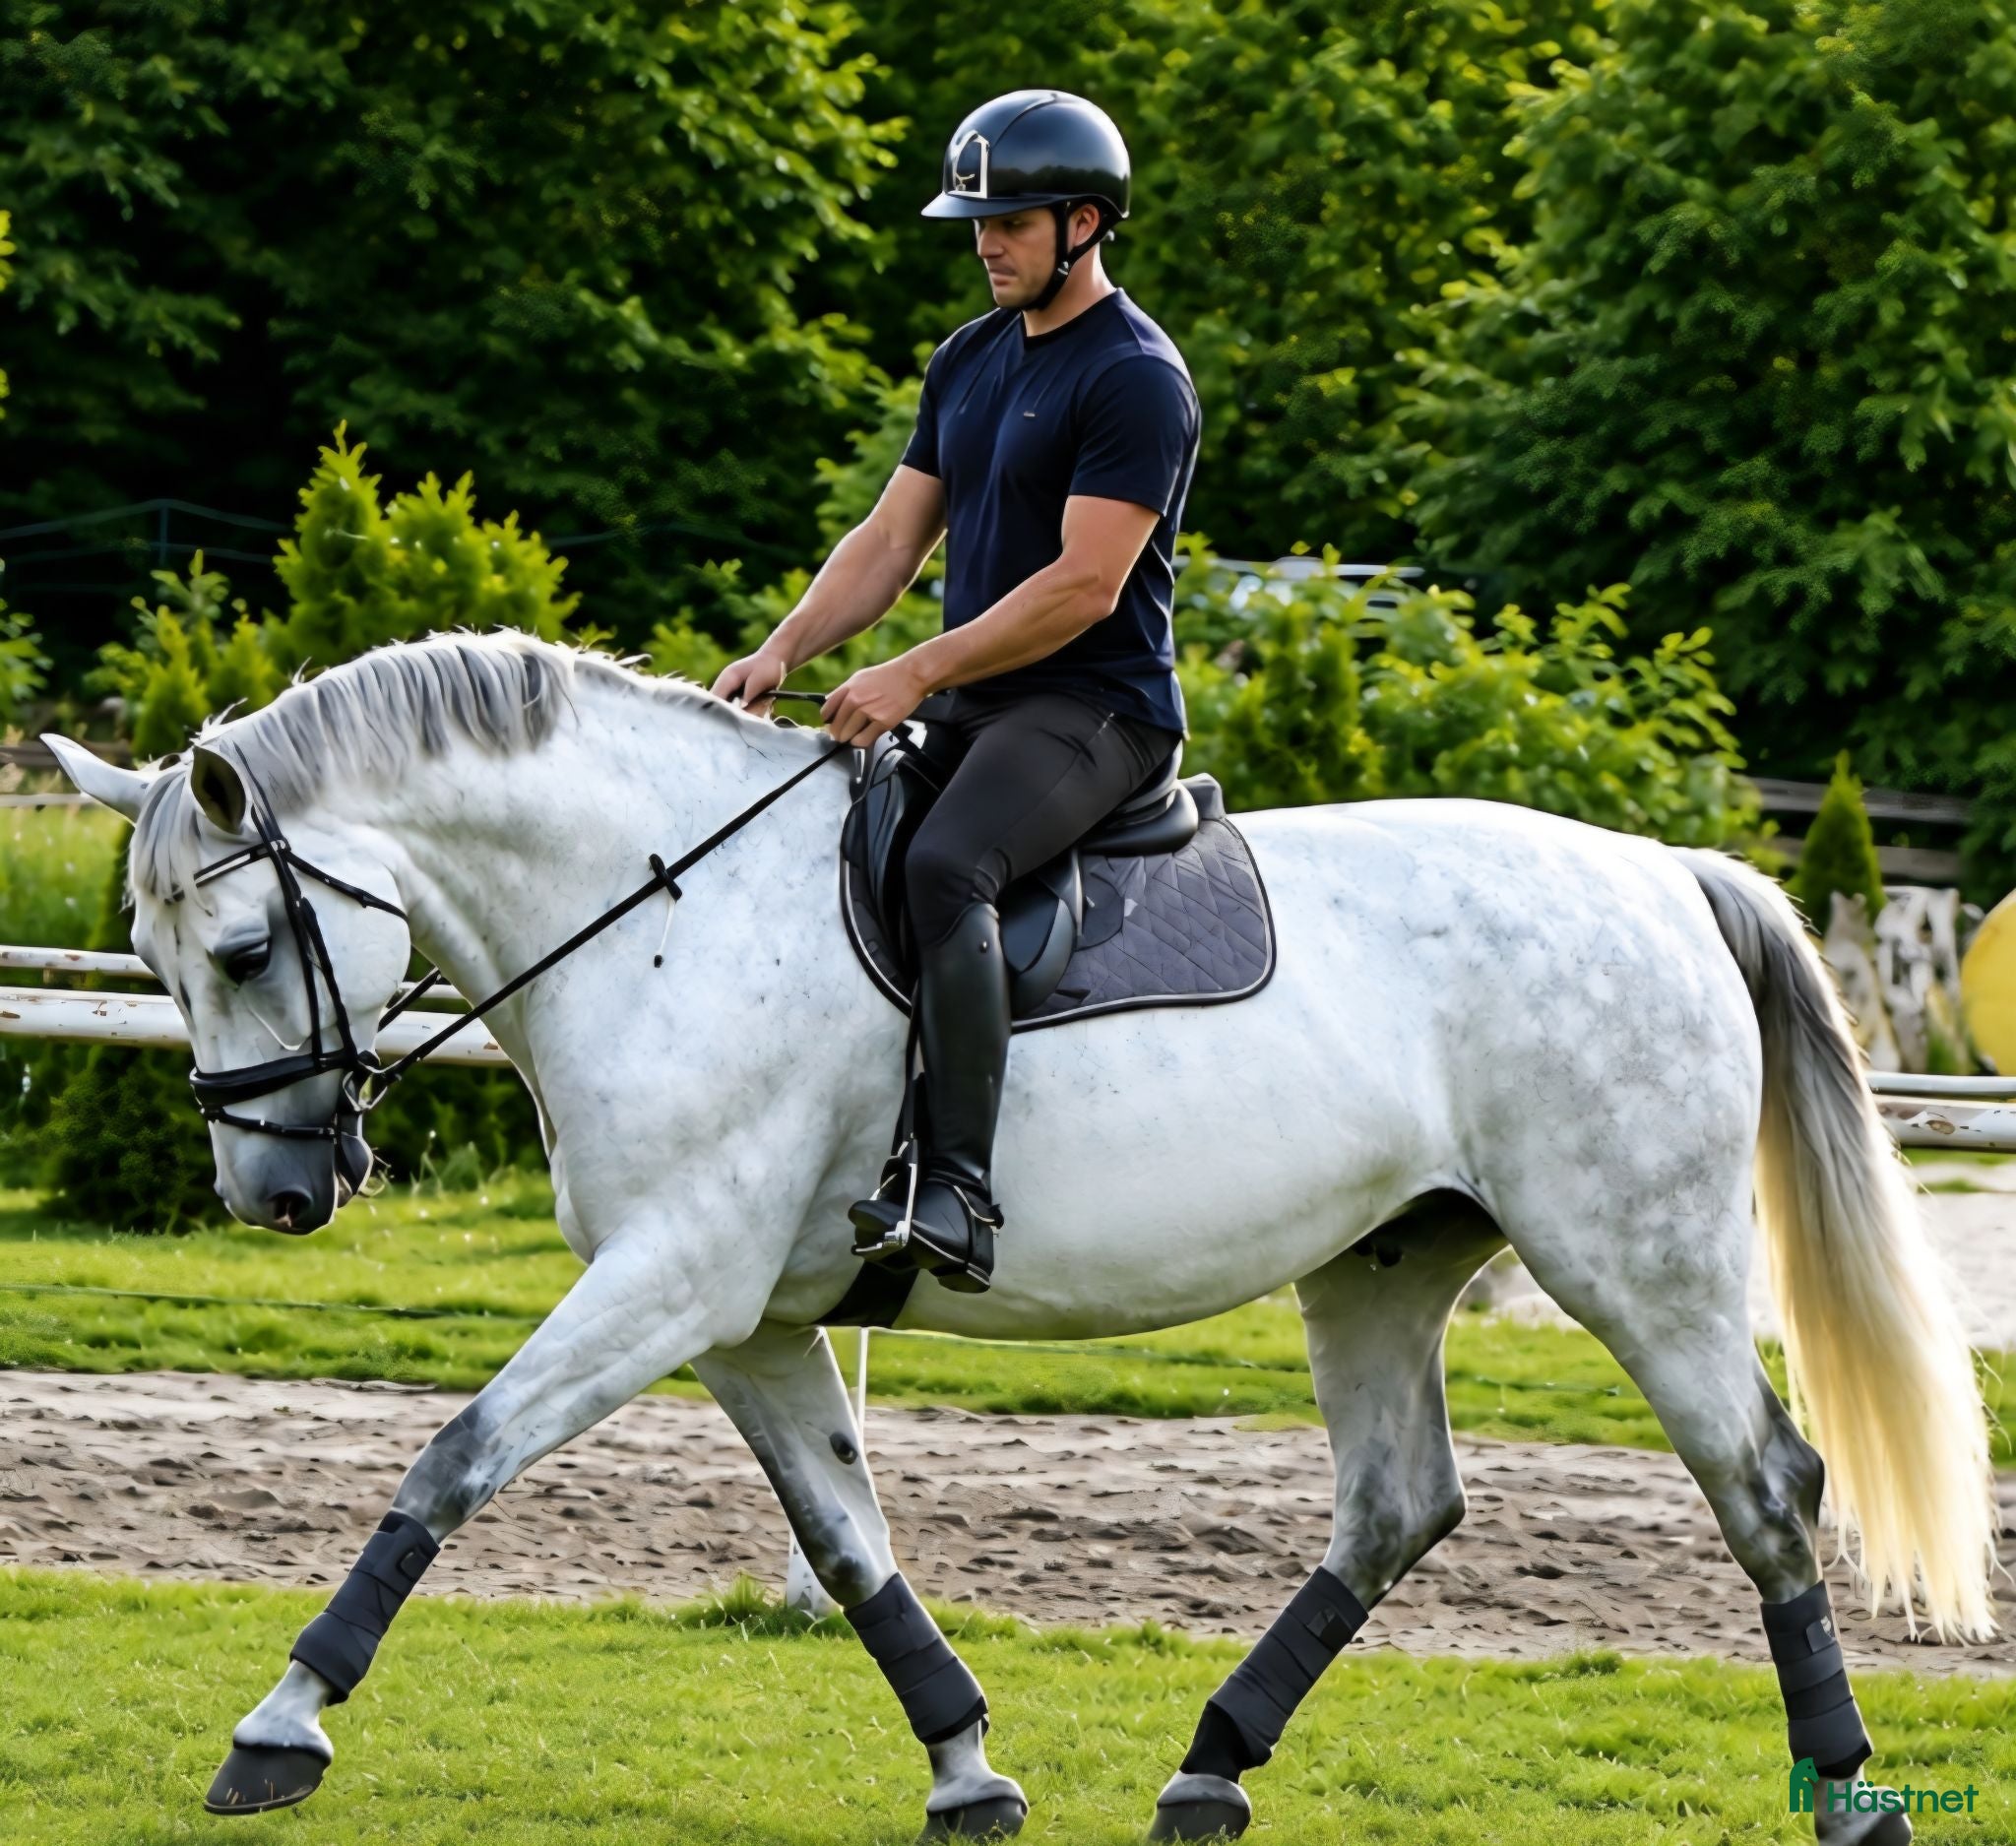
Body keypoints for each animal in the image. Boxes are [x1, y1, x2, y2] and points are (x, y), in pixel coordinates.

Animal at [48, 628, 1993, 1844]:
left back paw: (1849, 1791)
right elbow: (846, 1545)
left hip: (1634, 1262)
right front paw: (967, 1766)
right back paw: (1209, 1767)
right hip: (1381, 1263)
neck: (663, 911)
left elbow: (452, 1459)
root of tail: (1664, 868)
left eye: (241, 952)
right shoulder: (747, 1316)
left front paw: (280, 1724)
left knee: (1764, 1485)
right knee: (1398, 1506)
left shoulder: (668, 1283)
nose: (274, 1195)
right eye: (156, 963)